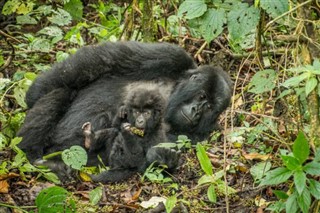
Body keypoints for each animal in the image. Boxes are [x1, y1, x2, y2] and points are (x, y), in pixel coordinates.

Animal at [17, 41, 231, 166]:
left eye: (209, 108)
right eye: (201, 96)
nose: (196, 111)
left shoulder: (201, 136)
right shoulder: (173, 56)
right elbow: (100, 61)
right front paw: (33, 94)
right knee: (60, 93)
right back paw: (31, 150)